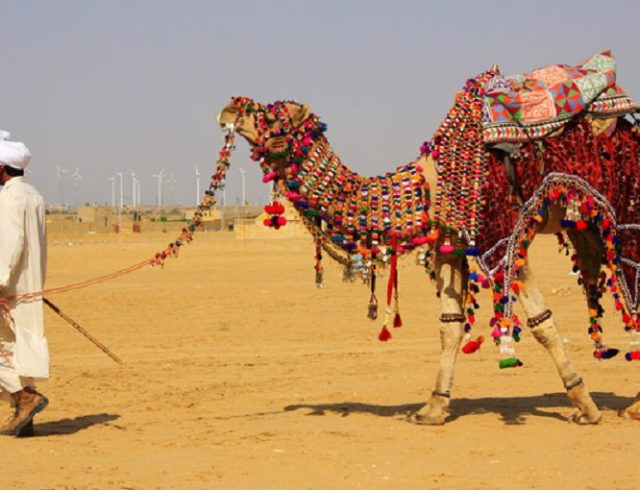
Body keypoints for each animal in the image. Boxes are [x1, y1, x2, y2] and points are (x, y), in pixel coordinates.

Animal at [215, 52, 640, 424]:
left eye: (272, 113)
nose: (229, 108)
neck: (429, 185)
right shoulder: (450, 246)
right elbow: (450, 326)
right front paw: (433, 408)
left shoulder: (504, 237)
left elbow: (541, 323)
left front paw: (585, 406)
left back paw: (632, 407)